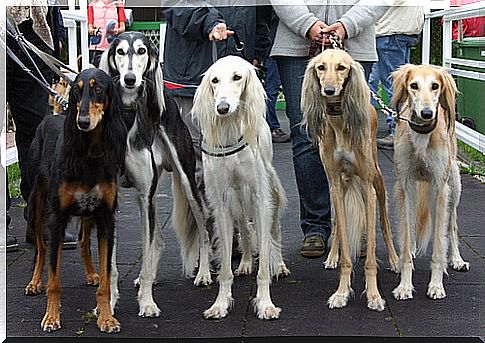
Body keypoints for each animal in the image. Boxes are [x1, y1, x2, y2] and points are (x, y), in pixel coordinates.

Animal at [24, 67, 126, 334]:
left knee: (82, 242)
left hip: (89, 213)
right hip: (37, 204)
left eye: (98, 88)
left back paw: (91, 273)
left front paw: (106, 318)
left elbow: (106, 280)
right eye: (77, 90)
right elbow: (54, 279)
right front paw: (51, 317)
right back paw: (34, 282)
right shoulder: (57, 218)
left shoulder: (105, 216)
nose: (83, 122)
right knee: (40, 248)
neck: (89, 151)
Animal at [190, 55, 290, 322]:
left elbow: (264, 259)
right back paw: (244, 262)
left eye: (237, 77)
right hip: (237, 199)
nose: (222, 108)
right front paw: (220, 304)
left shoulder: (259, 198)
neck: (230, 131)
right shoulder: (222, 202)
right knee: (244, 228)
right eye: (214, 81)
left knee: (273, 232)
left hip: (269, 191)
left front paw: (265, 304)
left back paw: (280, 265)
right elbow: (225, 266)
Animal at [300, 49, 398, 314]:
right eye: (321, 67)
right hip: (341, 189)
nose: (329, 90)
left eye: (342, 67)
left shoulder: (367, 185)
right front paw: (342, 292)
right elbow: (343, 241)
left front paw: (374, 295)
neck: (339, 122)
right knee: (336, 225)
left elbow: (373, 251)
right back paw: (332, 256)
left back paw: (396, 259)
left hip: (377, 181)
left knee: (384, 223)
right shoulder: (334, 184)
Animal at [390, 64, 468, 300]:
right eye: (413, 85)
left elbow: (440, 243)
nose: (427, 113)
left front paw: (436, 285)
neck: (422, 135)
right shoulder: (405, 185)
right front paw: (404, 285)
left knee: (451, 226)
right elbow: (406, 235)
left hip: (453, 187)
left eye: (435, 86)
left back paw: (457, 259)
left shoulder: (439, 189)